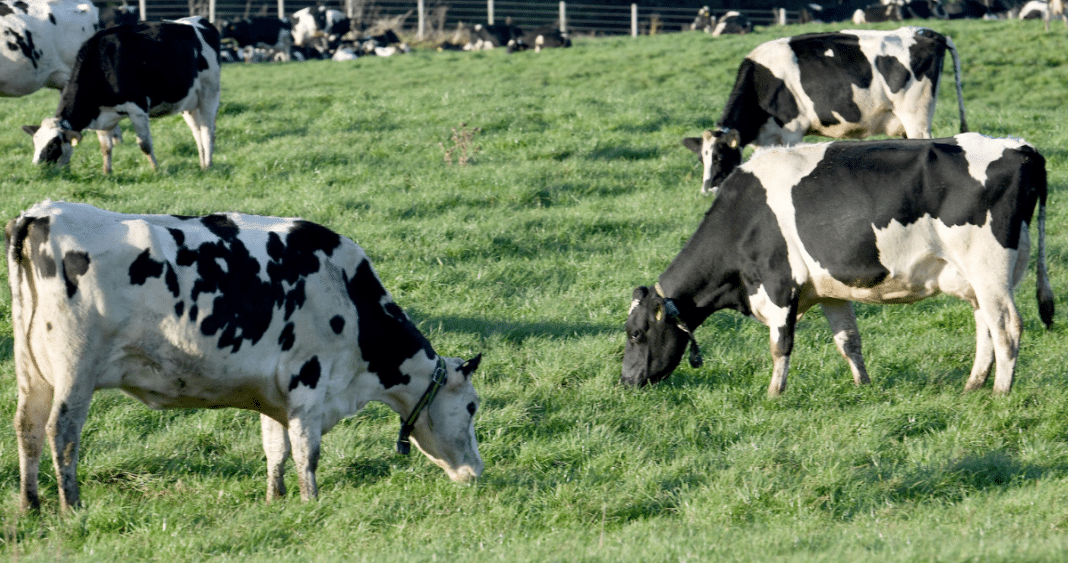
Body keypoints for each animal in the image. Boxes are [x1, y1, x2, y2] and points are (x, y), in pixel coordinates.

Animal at [7, 200, 484, 512]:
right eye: (472, 407)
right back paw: (72, 507)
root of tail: (42, 213)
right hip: (76, 369)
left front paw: (276, 501)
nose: (477, 472)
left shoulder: (276, 392)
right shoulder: (309, 381)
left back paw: (31, 505)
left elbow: (276, 448)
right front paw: (312, 503)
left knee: (28, 428)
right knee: (62, 435)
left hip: (32, 370)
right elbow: (306, 451)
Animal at [22, 17, 221, 173]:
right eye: (35, 143)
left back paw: (209, 165)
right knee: (197, 131)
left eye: (53, 145)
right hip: (189, 103)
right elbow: (105, 147)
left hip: (209, 92)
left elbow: (145, 145)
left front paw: (156, 169)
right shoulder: (101, 116)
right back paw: (202, 164)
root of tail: (200, 21)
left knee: (208, 131)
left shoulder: (137, 108)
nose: (37, 168)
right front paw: (106, 172)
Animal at [623, 133, 1050, 397]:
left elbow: (780, 346)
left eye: (636, 333)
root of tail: (1020, 147)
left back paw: (1000, 393)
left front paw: (773, 395)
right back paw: (972, 386)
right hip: (978, 276)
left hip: (989, 267)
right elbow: (848, 341)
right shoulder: (829, 289)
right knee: (986, 328)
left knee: (1006, 327)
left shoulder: (779, 284)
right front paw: (864, 386)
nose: (626, 380)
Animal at [683, 27, 969, 197]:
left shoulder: (792, 132)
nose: (707, 189)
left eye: (719, 157)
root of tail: (923, 32)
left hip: (915, 116)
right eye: (701, 159)